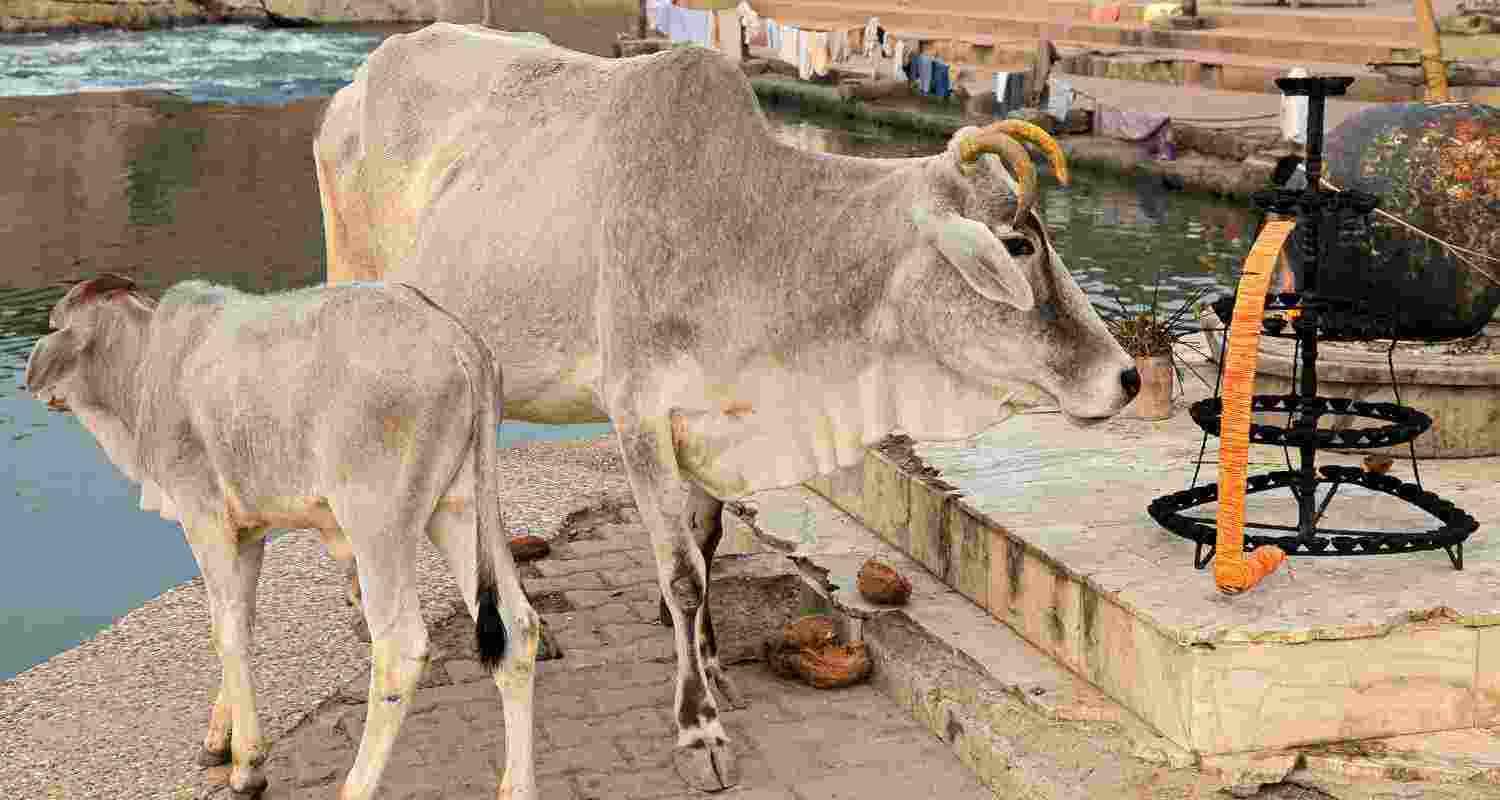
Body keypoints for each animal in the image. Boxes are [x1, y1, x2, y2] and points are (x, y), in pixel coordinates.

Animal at [23, 274, 541, 800]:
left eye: (53, 325)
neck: (143, 363)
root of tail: (455, 338)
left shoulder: (203, 517)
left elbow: (225, 630)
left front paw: (247, 765)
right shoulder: (248, 533)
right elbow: (241, 622)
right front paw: (220, 740)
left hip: (377, 527)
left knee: (401, 650)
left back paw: (354, 786)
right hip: (460, 511)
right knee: (518, 628)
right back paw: (517, 788)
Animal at [314, 23, 1140, 792]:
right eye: (1016, 245)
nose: (1127, 376)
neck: (749, 239)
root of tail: (365, 74)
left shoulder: (714, 423)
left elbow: (707, 546)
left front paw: (714, 667)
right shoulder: (639, 415)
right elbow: (680, 574)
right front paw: (698, 728)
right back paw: (360, 598)